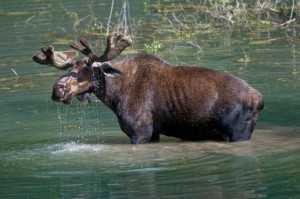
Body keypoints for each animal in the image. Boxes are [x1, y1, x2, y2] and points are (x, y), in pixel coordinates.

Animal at [31, 33, 264, 143]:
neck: (114, 95)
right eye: (71, 68)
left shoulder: (140, 131)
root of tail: (260, 99)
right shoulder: (153, 133)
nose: (57, 90)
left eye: (87, 69)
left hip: (238, 131)